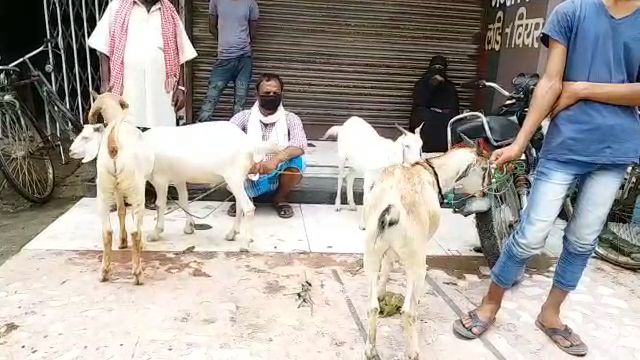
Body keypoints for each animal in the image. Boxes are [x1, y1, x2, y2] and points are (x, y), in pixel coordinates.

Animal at [69, 91, 154, 286]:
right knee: (135, 231)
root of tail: (113, 143)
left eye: (85, 137)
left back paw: (104, 272)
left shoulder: (116, 189)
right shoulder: (139, 185)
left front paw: (122, 242)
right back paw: (137, 274)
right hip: (135, 187)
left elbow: (121, 210)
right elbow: (131, 215)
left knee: (106, 231)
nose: (70, 151)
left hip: (103, 188)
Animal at [360, 147, 490, 360]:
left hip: (370, 253)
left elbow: (387, 266)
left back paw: (370, 350)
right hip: (416, 262)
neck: (431, 171)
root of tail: (392, 208)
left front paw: (381, 292)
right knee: (408, 311)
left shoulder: (387, 251)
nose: (485, 190)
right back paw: (412, 351)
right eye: (487, 170)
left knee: (372, 306)